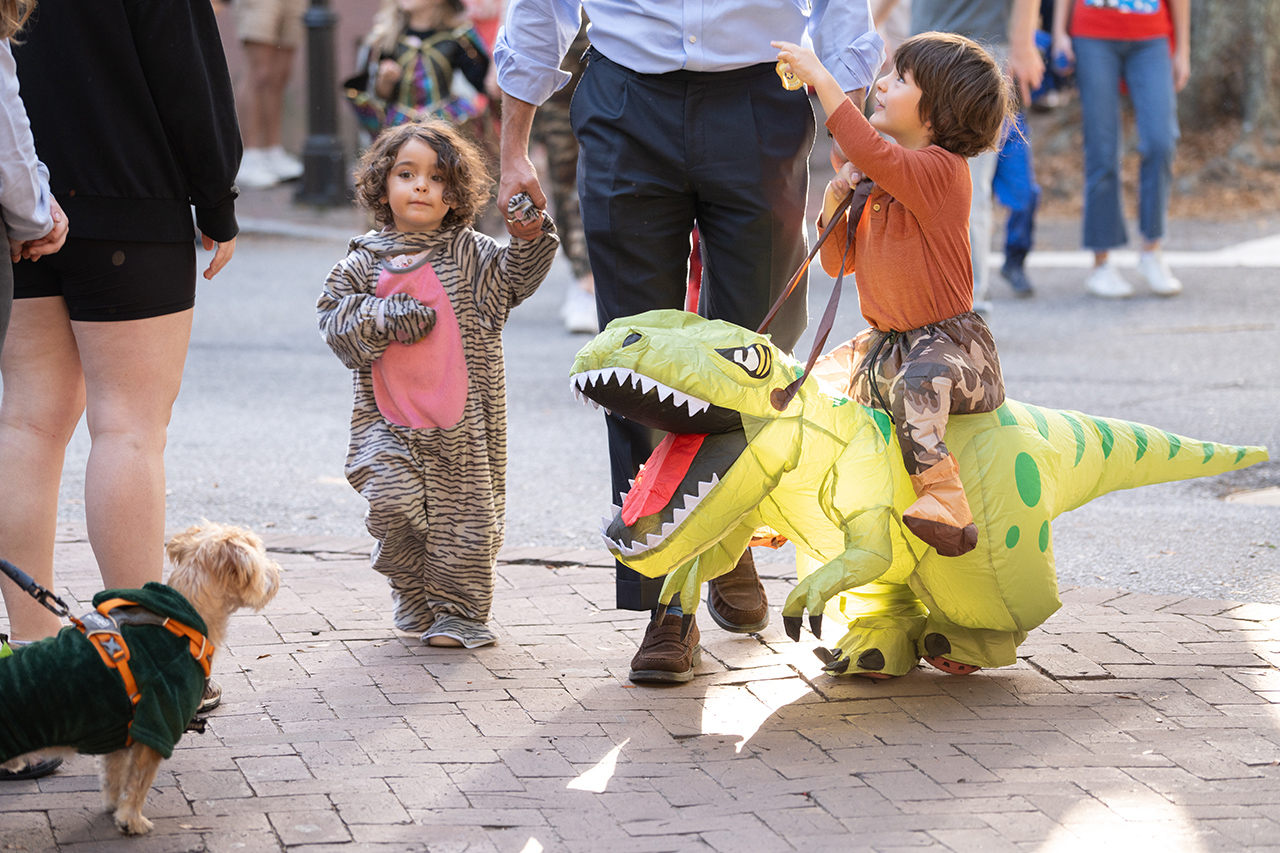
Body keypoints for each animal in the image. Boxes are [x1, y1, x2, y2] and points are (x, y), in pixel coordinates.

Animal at [0, 517, 280, 829]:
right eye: (260, 554)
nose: (278, 571)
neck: (181, 619)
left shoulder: (120, 736)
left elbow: (114, 775)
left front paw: (113, 807)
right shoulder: (157, 721)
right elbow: (139, 782)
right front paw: (131, 820)